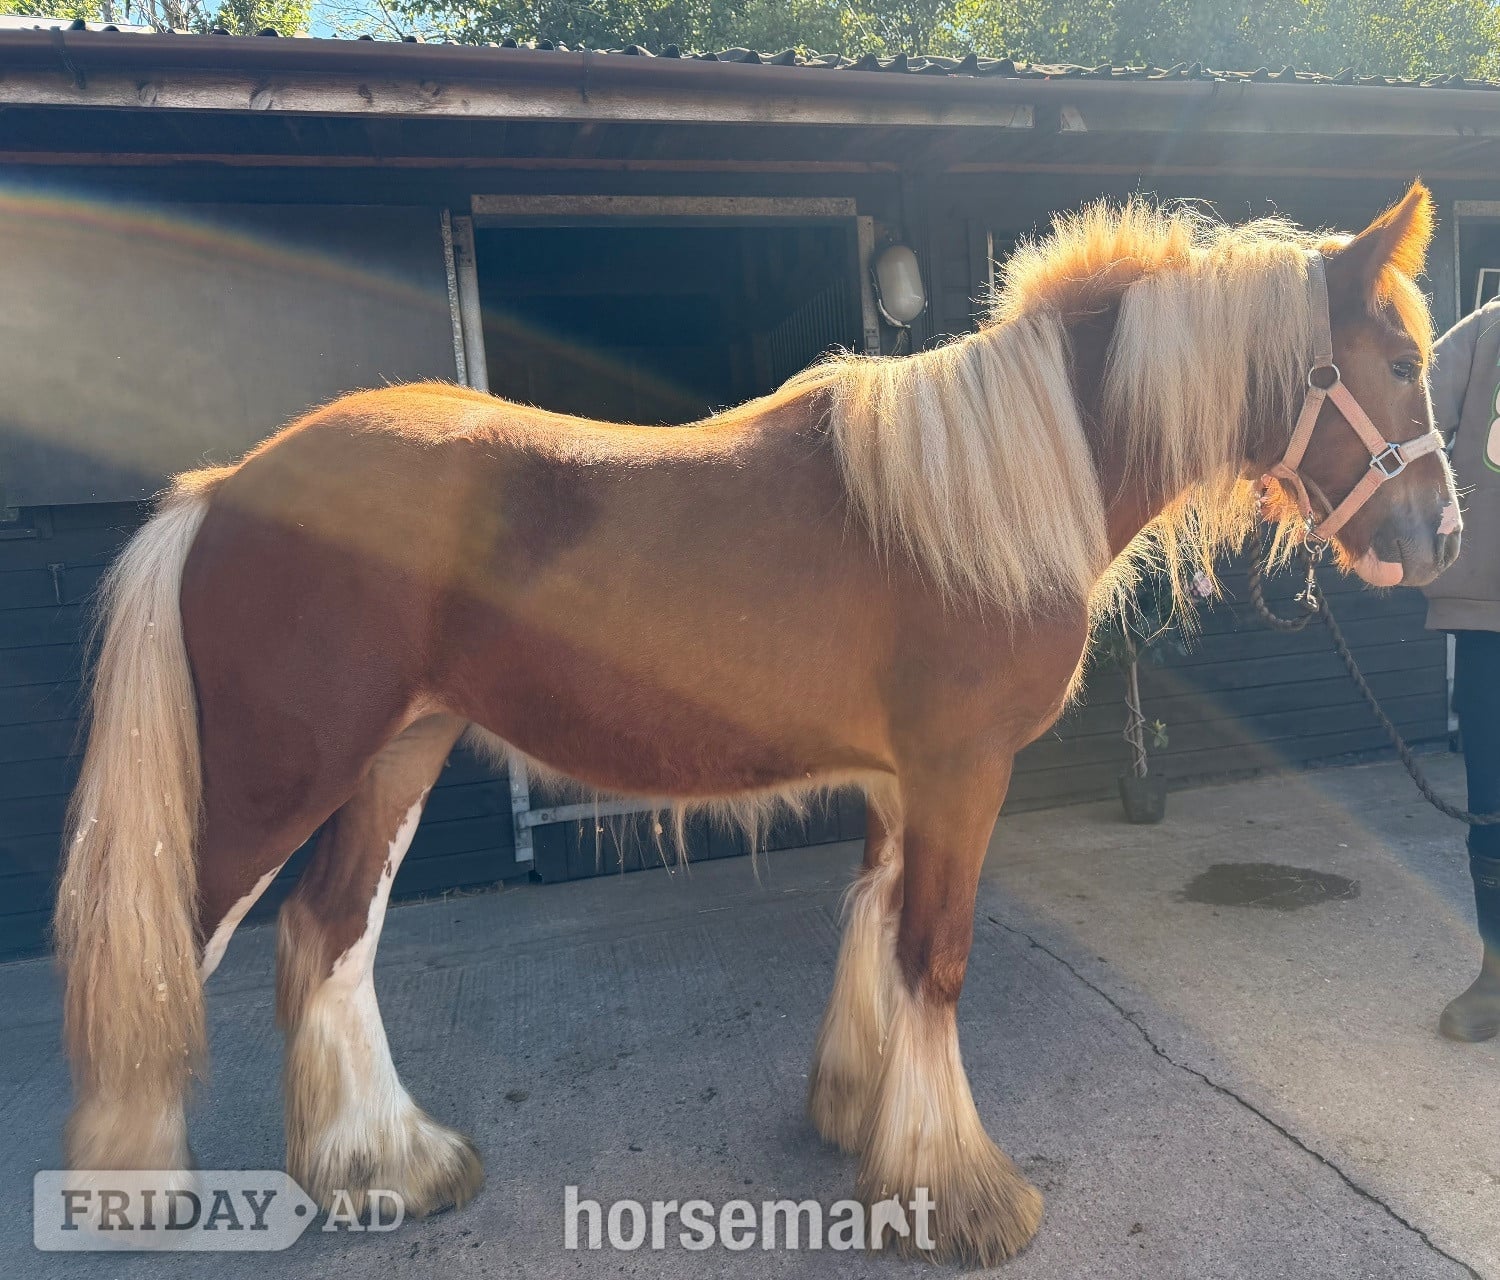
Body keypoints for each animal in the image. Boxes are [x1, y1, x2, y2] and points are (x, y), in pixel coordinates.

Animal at [54, 180, 1458, 1266]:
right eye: (1400, 363)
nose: (1439, 538)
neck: (990, 489)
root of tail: (227, 485)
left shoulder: (901, 780)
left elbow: (879, 930)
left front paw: (860, 1115)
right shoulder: (960, 773)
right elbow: (936, 956)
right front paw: (957, 1196)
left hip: (400, 754)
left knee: (326, 934)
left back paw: (384, 1164)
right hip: (277, 776)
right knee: (174, 952)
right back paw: (135, 1194)